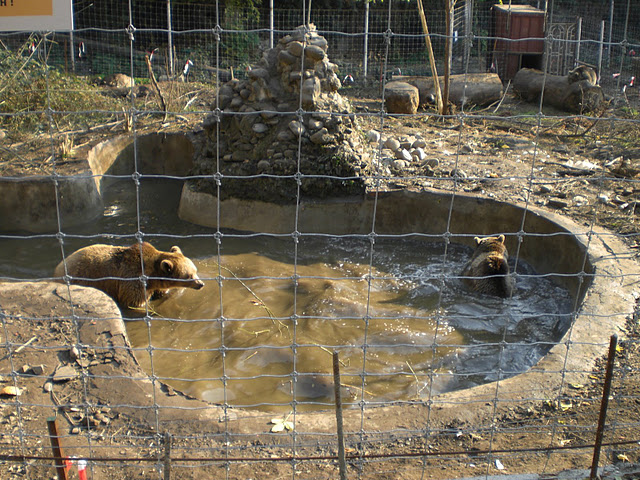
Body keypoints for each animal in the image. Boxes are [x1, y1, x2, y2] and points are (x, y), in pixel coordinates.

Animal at [54, 242, 204, 308]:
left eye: (195, 271)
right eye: (189, 276)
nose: (201, 284)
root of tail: (58, 267)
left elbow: (162, 292)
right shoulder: (131, 281)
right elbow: (134, 302)